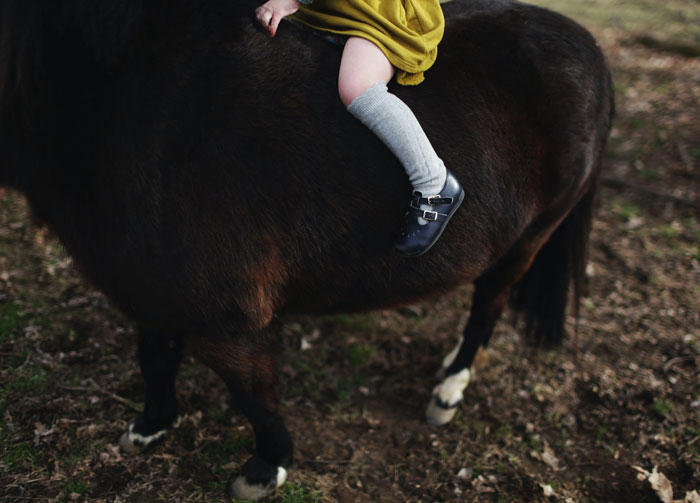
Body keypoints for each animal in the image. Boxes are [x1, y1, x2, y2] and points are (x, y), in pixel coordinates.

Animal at [0, 0, 613, 499]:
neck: (124, 100)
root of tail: (590, 46)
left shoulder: (227, 321)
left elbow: (254, 395)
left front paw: (265, 469)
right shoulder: (148, 289)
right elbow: (154, 357)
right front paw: (150, 427)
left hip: (528, 239)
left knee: (488, 306)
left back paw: (448, 389)